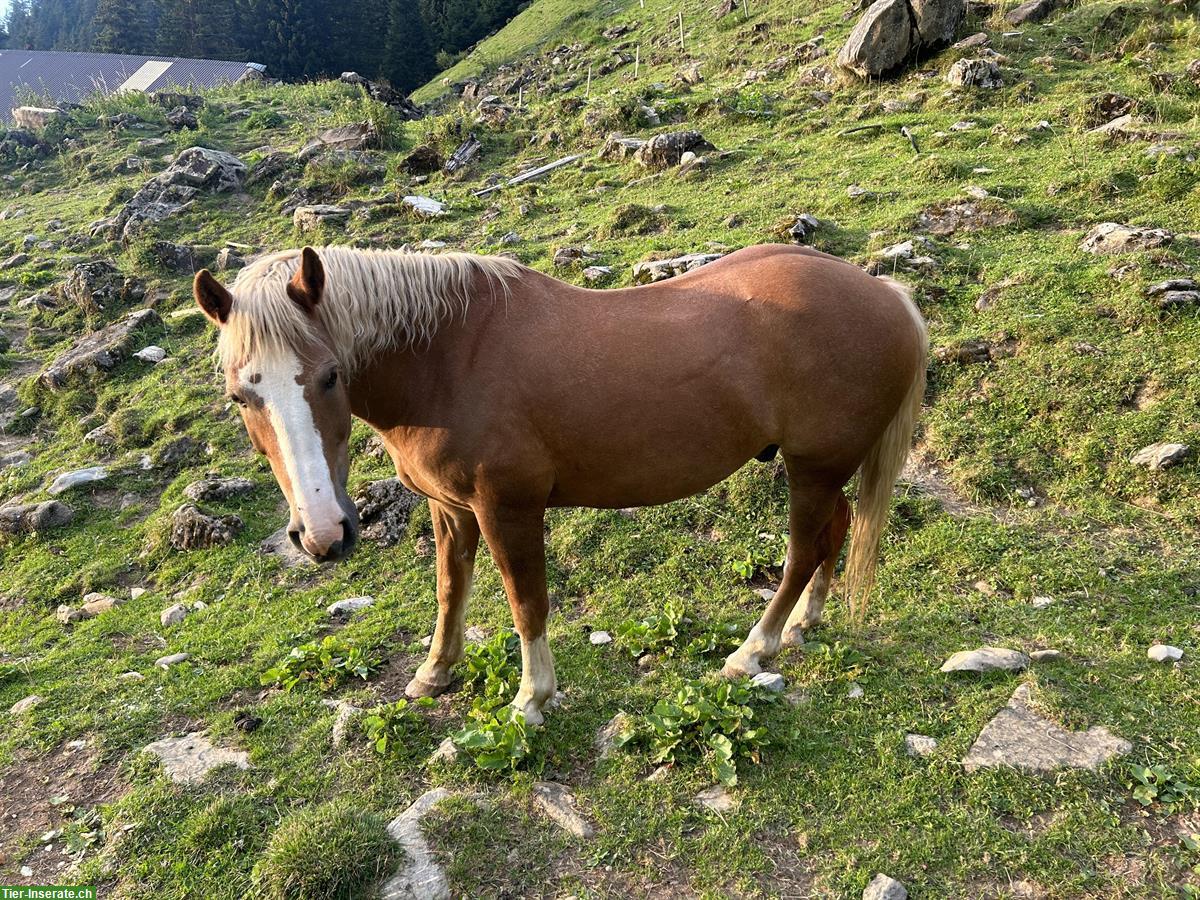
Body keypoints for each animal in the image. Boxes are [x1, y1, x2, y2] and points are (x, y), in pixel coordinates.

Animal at [196, 243, 926, 724]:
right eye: (238, 395)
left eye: (328, 376)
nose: (323, 535)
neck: (445, 360)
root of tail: (886, 294)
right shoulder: (451, 509)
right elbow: (450, 589)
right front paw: (436, 671)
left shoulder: (508, 508)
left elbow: (527, 603)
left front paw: (531, 698)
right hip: (824, 470)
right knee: (833, 534)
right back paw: (804, 624)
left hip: (812, 467)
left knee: (802, 551)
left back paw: (755, 650)